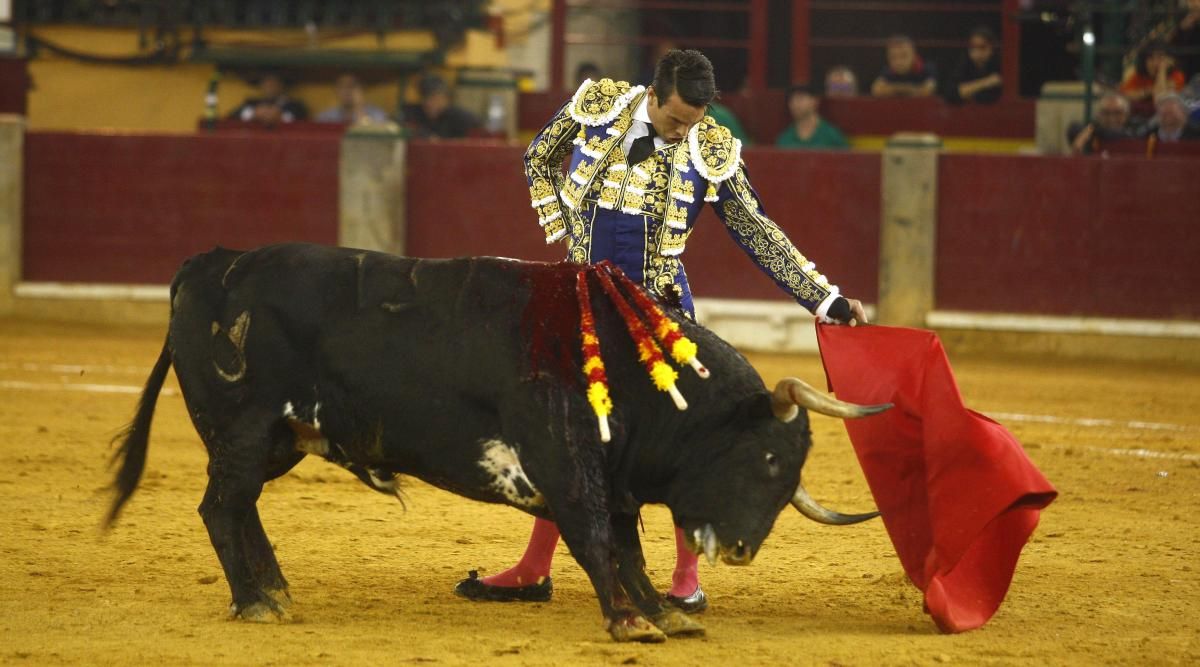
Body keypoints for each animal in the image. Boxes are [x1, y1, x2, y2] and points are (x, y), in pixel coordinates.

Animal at [105, 242, 892, 643]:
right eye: (766, 458)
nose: (741, 549)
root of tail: (207, 264)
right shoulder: (568, 461)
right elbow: (595, 536)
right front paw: (629, 620)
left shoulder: (613, 474)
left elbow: (626, 543)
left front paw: (659, 611)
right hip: (244, 426)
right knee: (220, 507)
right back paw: (255, 601)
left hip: (282, 436)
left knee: (241, 508)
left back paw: (274, 589)